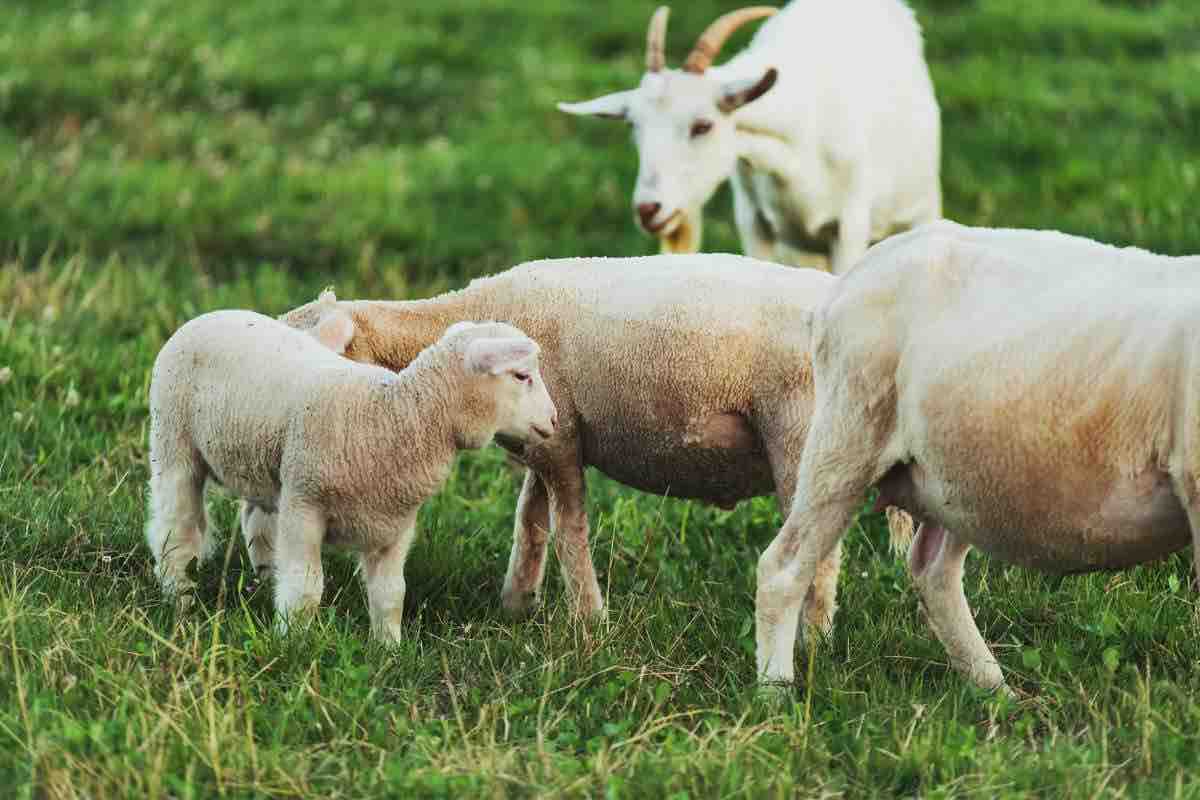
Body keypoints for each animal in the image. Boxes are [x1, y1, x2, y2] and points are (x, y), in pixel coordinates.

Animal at [145, 312, 556, 641]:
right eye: (522, 375)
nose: (554, 420)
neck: (395, 415)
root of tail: (211, 314)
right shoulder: (304, 506)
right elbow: (306, 588)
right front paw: (293, 643)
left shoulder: (395, 525)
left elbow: (391, 594)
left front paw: (389, 650)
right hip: (173, 440)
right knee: (175, 528)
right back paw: (179, 598)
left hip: (264, 465)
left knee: (255, 522)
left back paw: (263, 580)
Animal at [263, 254, 913, 647]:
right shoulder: (545, 435)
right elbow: (531, 520)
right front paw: (517, 603)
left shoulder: (562, 435)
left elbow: (568, 526)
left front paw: (588, 621)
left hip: (802, 431)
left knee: (821, 551)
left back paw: (817, 638)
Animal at [756, 220, 1200, 690]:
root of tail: (849, 279)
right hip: (849, 428)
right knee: (782, 568)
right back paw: (774, 691)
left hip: (960, 477)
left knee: (933, 572)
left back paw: (992, 688)